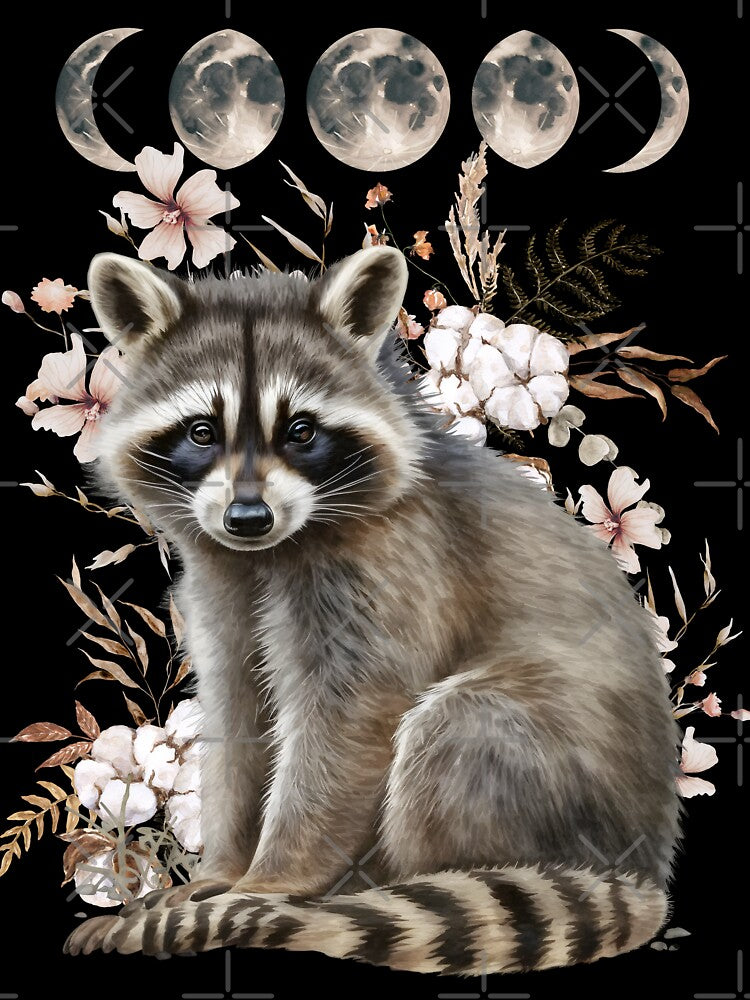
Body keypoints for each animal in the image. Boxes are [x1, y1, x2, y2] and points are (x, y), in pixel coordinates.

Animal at [65, 247, 681, 974]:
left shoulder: (396, 564)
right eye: (201, 431)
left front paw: (271, 881)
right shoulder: (221, 586)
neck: (270, 550)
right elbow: (239, 716)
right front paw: (224, 866)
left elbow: (350, 721)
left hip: (548, 766)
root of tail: (643, 862)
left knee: (456, 728)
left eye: (301, 431)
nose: (248, 517)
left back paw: (404, 881)